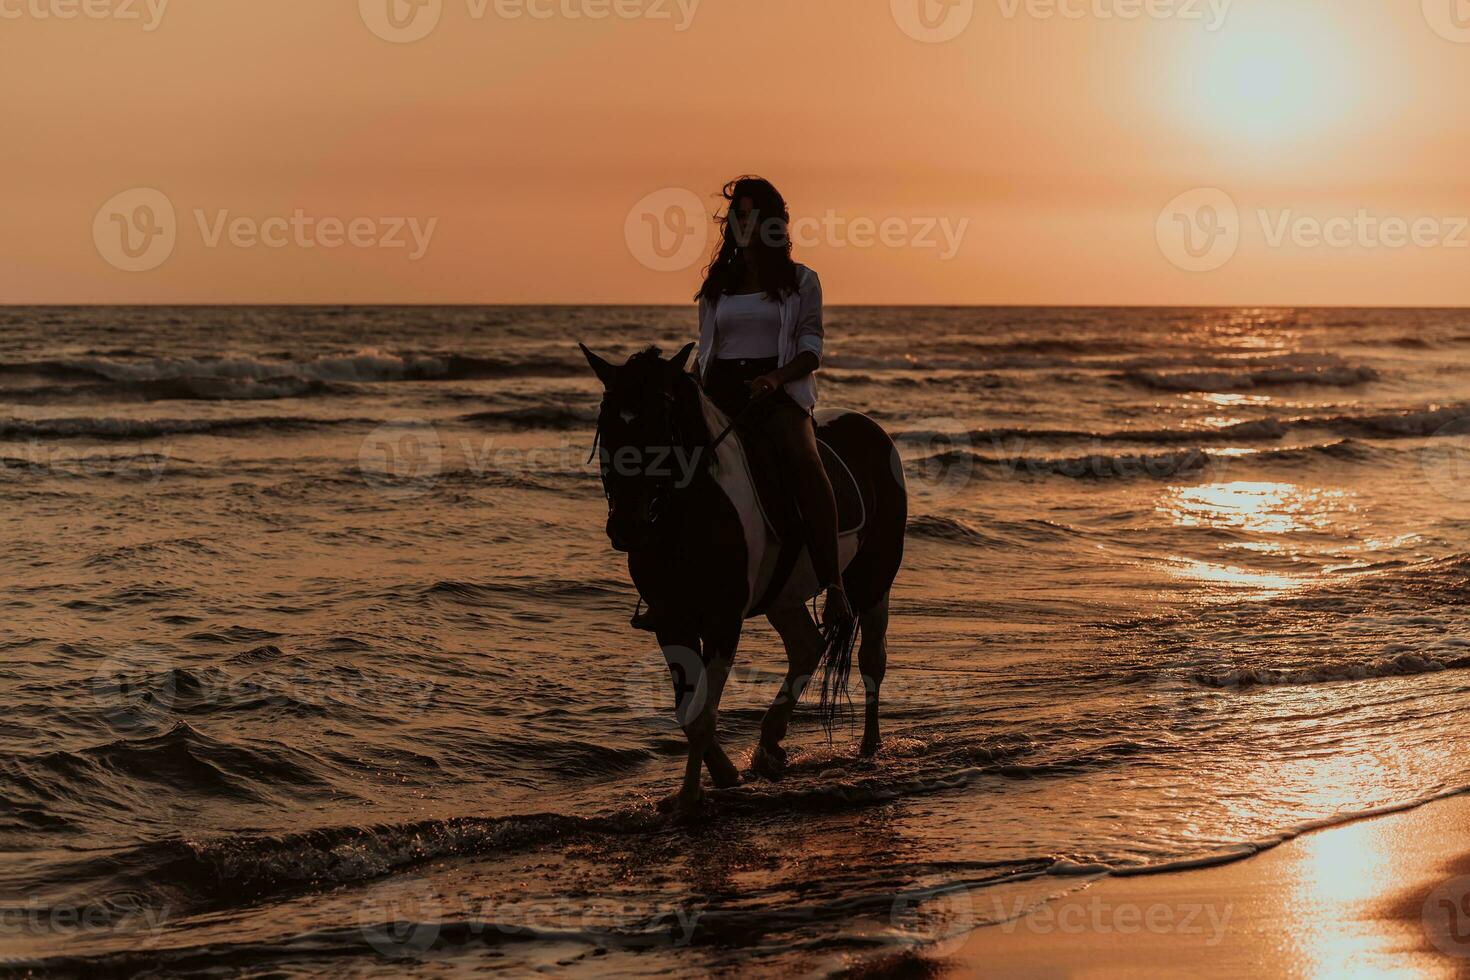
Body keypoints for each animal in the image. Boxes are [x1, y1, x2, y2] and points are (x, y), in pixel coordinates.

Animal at [576, 345, 899, 822]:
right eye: (606, 421)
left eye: (662, 422)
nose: (626, 527)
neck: (686, 516)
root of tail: (870, 428)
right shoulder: (671, 620)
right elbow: (687, 711)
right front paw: (724, 777)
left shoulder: (722, 621)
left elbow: (704, 714)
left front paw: (690, 801)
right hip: (783, 597)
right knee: (807, 646)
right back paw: (768, 747)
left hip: (875, 580)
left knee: (871, 658)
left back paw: (869, 749)